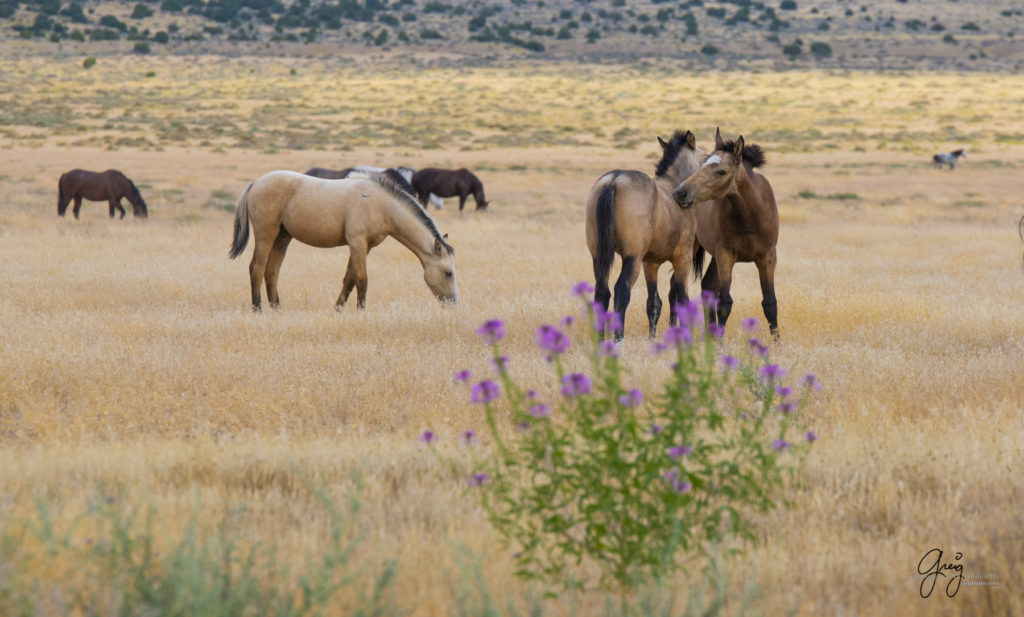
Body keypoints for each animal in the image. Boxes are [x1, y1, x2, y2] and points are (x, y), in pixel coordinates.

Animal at [232, 168, 460, 311]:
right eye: (448, 272)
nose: (453, 303)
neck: (380, 205)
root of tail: (255, 183)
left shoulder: (365, 247)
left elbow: (349, 279)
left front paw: (338, 308)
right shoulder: (357, 243)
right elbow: (362, 280)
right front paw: (361, 311)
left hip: (282, 237)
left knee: (272, 271)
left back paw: (276, 308)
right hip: (265, 234)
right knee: (257, 269)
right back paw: (257, 309)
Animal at [585, 130, 704, 339]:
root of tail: (614, 180)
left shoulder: (650, 263)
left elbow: (654, 303)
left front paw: (652, 339)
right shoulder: (683, 258)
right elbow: (682, 299)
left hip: (598, 256)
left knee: (602, 292)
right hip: (632, 257)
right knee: (621, 290)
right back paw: (618, 339)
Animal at [671, 130, 782, 339]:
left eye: (721, 171)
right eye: (701, 164)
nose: (680, 192)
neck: (750, 218)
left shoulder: (768, 257)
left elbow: (770, 302)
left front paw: (777, 342)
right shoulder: (726, 256)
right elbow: (725, 302)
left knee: (706, 286)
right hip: (691, 248)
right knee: (676, 285)